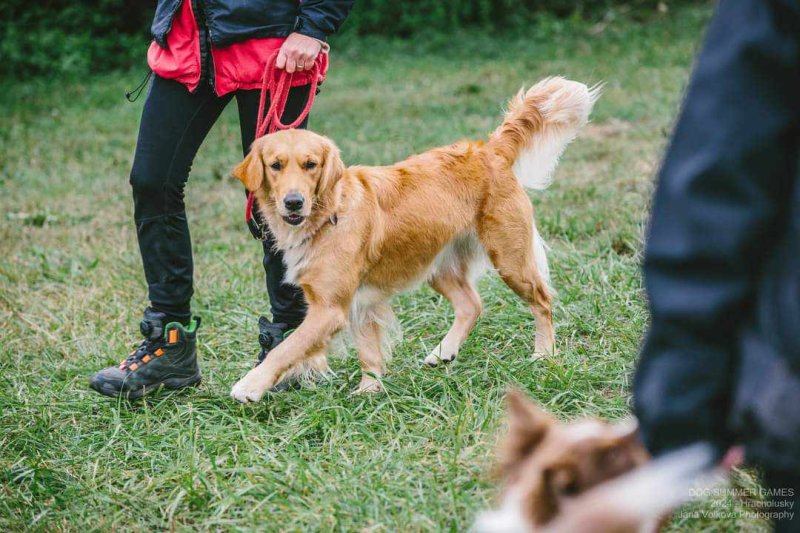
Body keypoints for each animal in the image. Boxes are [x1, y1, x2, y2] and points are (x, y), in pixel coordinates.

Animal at [228, 77, 596, 402]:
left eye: (310, 165)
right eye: (275, 165)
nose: (293, 202)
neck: (329, 214)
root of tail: (489, 149)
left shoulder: (329, 309)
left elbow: (287, 348)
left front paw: (250, 385)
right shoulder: (357, 302)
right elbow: (367, 350)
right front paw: (370, 389)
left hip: (509, 258)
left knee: (542, 301)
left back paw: (544, 353)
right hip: (437, 264)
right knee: (471, 304)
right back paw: (444, 351)